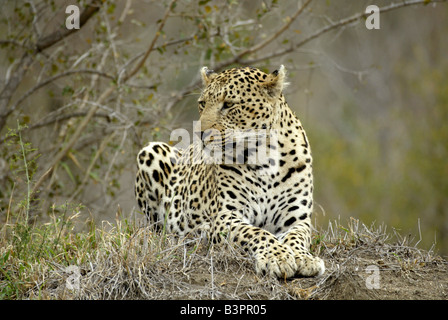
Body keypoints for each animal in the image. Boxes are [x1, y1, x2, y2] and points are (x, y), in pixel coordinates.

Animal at [135, 65, 324, 278]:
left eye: (228, 105)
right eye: (202, 104)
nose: (199, 134)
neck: (265, 158)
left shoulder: (296, 219)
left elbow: (297, 237)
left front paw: (304, 258)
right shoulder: (226, 215)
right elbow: (256, 232)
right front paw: (277, 257)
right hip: (151, 151)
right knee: (160, 230)